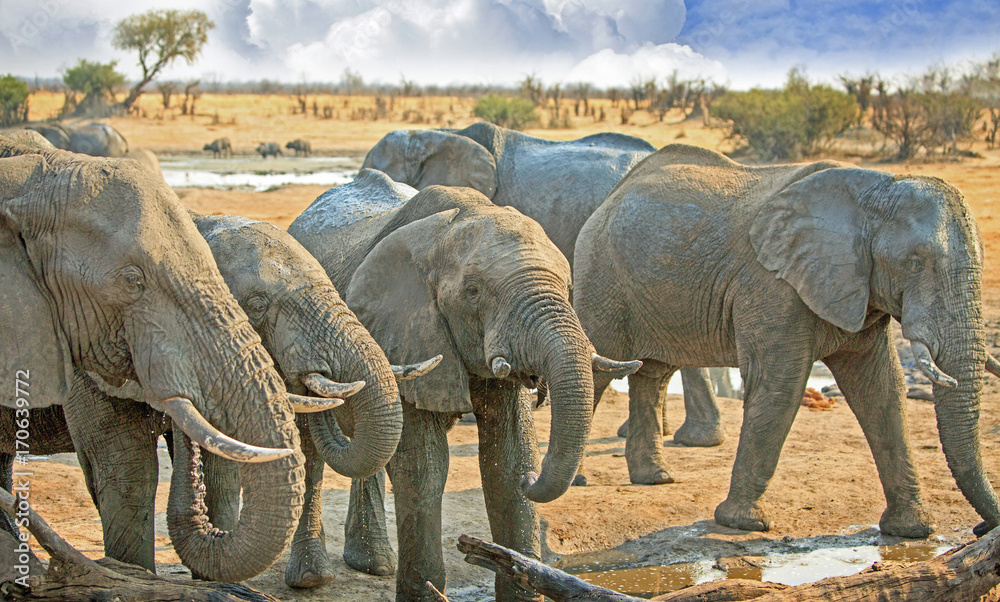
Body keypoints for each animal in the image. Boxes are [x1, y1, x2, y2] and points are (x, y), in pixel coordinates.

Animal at [288, 169, 640, 601]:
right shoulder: (404, 331)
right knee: (312, 450)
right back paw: (309, 577)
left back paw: (374, 564)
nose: (534, 480)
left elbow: (507, 457)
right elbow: (425, 466)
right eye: (473, 291)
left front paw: (519, 571)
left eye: (569, 287)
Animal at [572, 143, 1000, 538]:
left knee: (654, 374)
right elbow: (781, 384)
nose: (982, 529)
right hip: (601, 274)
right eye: (914, 263)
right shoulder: (772, 286)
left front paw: (911, 530)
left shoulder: (857, 289)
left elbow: (881, 389)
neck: (874, 193)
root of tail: (610, 199)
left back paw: (655, 478)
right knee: (600, 369)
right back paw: (579, 482)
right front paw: (743, 524)